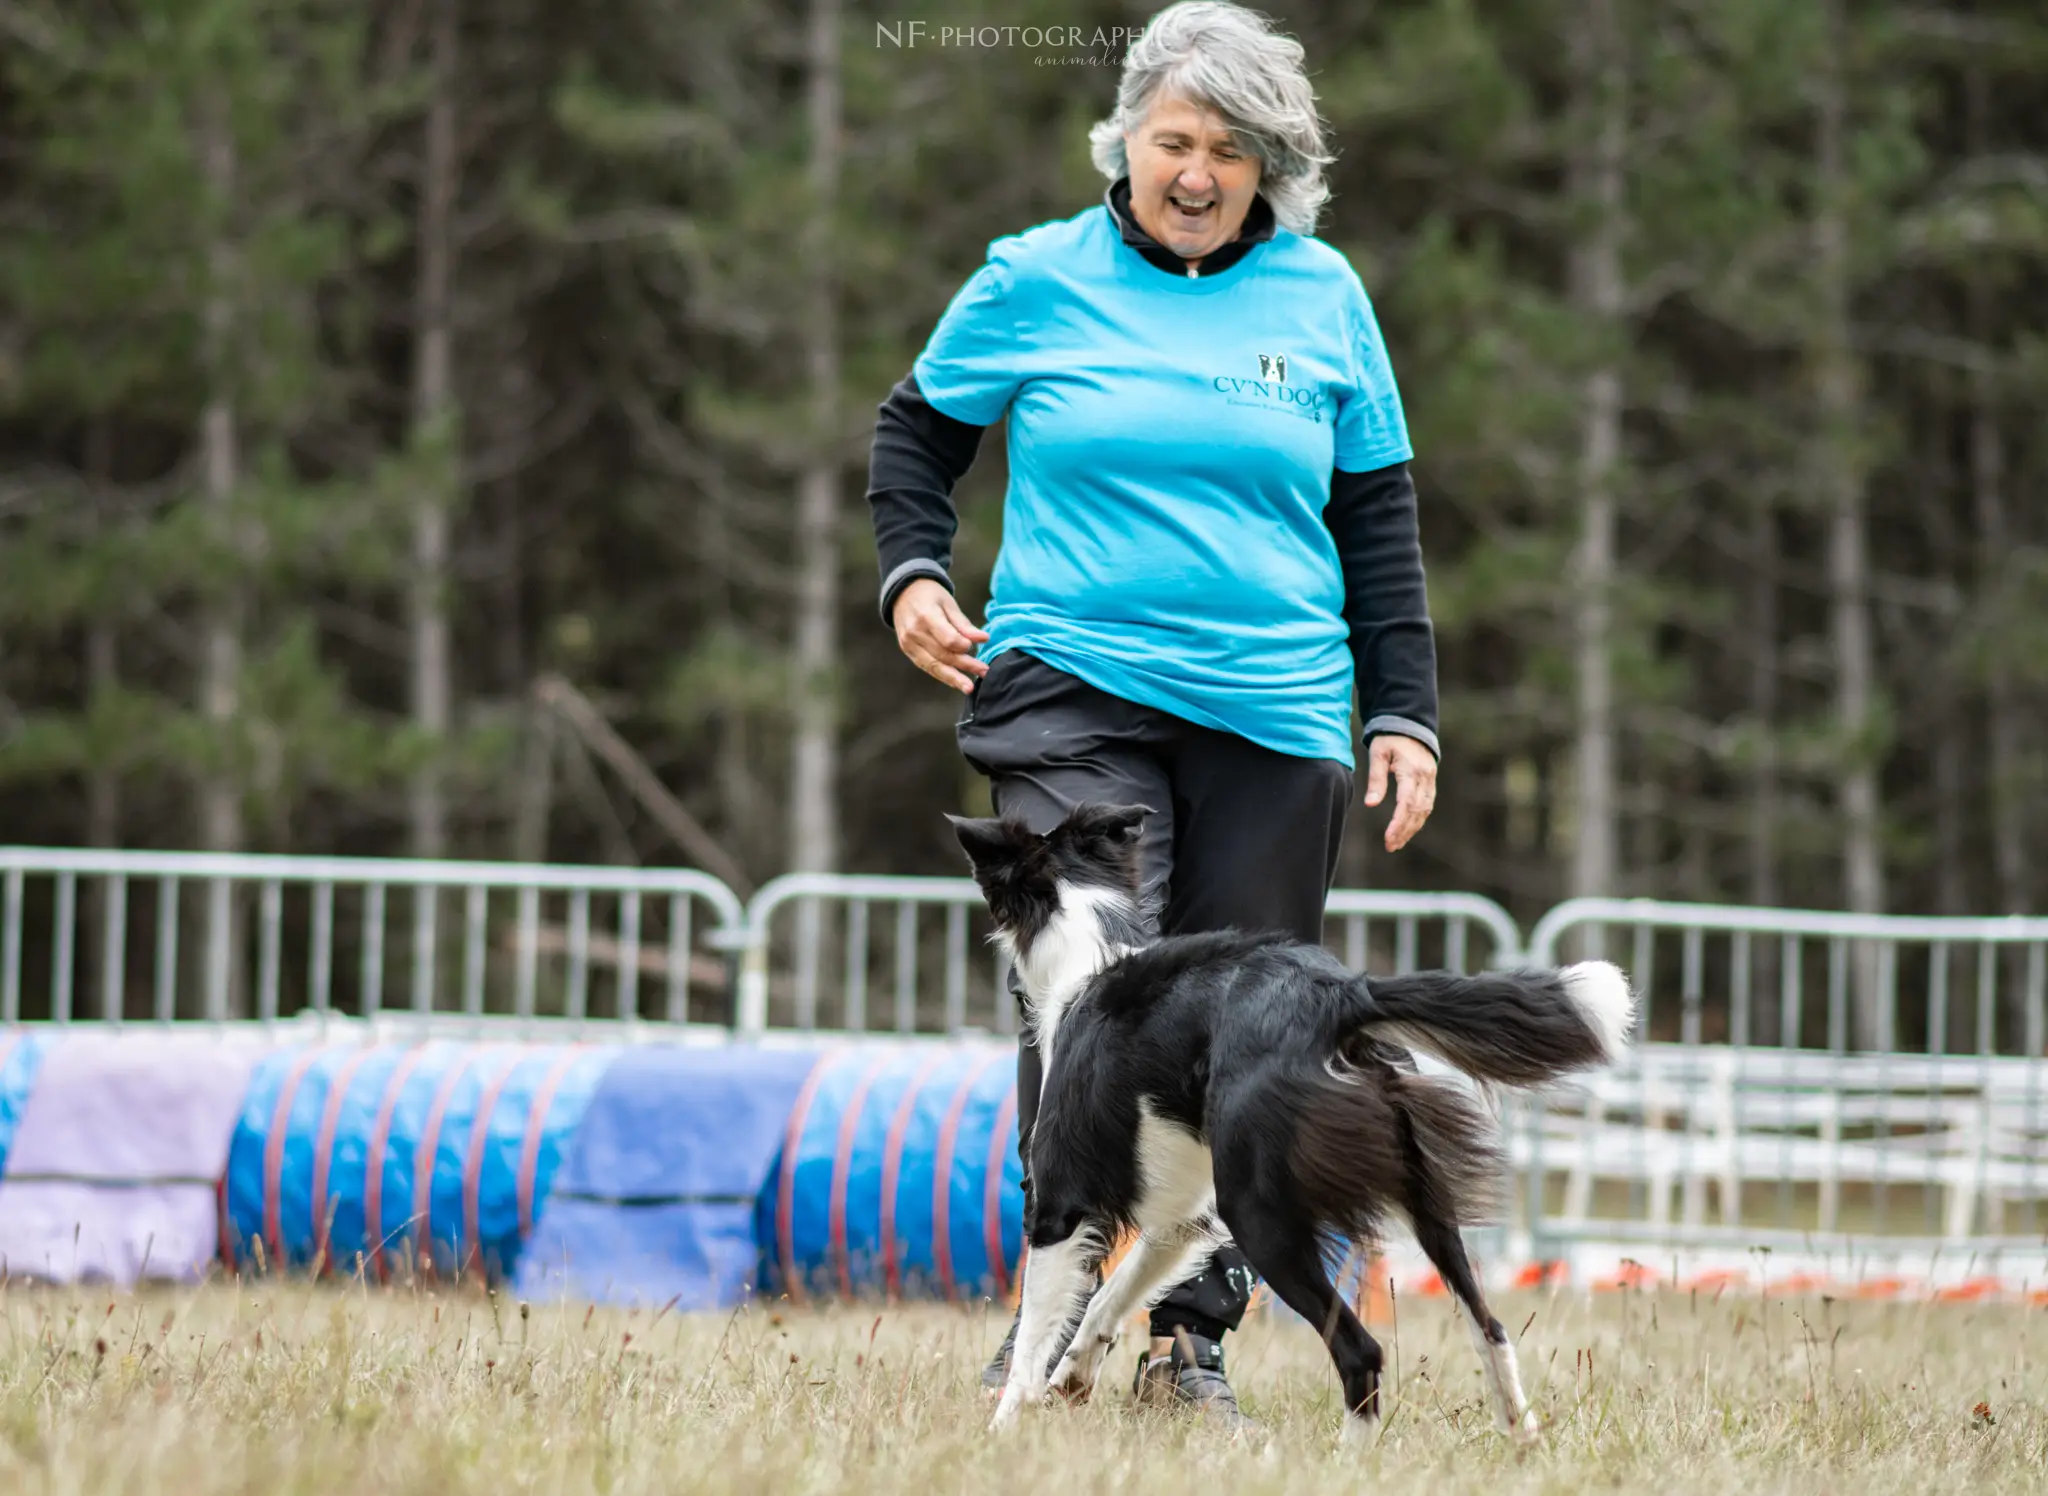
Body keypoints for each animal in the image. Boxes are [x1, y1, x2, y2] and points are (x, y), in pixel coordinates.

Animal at [950, 799, 1638, 1442]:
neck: (1087, 947)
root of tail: (1342, 995)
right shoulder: (1183, 1220)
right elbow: (1108, 1298)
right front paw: (1073, 1375)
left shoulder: (1059, 1207)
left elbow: (1039, 1331)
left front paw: (1006, 1425)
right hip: (1422, 1195)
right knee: (1489, 1325)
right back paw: (1520, 1435)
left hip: (1261, 1212)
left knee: (1361, 1350)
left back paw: (1349, 1457)